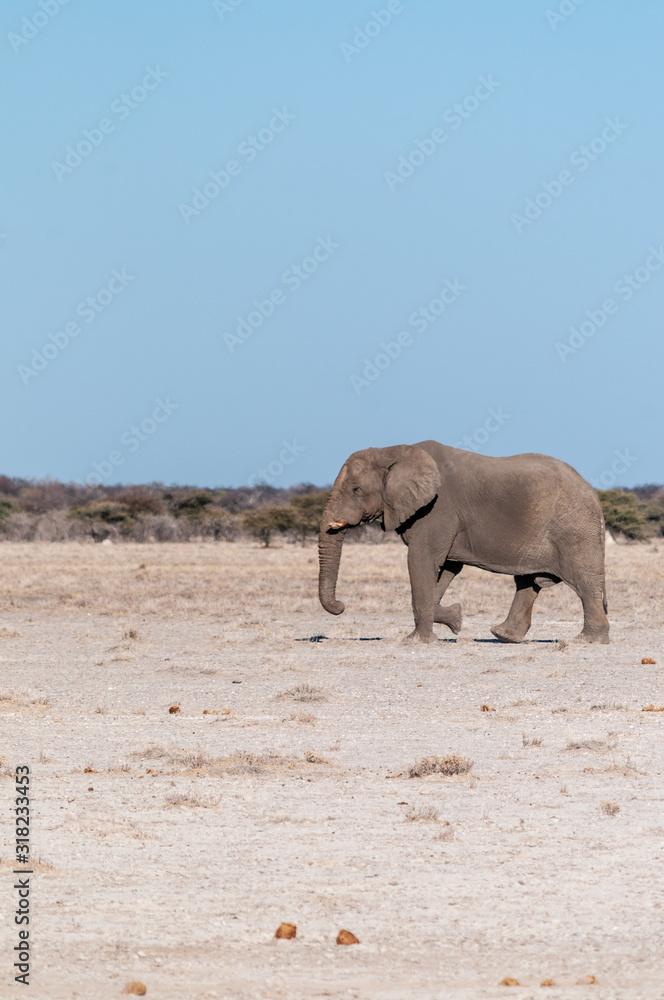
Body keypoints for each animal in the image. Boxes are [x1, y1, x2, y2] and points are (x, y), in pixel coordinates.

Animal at [318, 441, 609, 644]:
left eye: (356, 489)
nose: (341, 606)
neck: (392, 450)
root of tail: (594, 495)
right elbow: (446, 567)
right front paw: (455, 619)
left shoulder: (438, 509)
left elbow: (421, 560)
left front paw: (416, 641)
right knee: (527, 582)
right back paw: (503, 635)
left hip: (574, 531)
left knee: (583, 582)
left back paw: (588, 640)